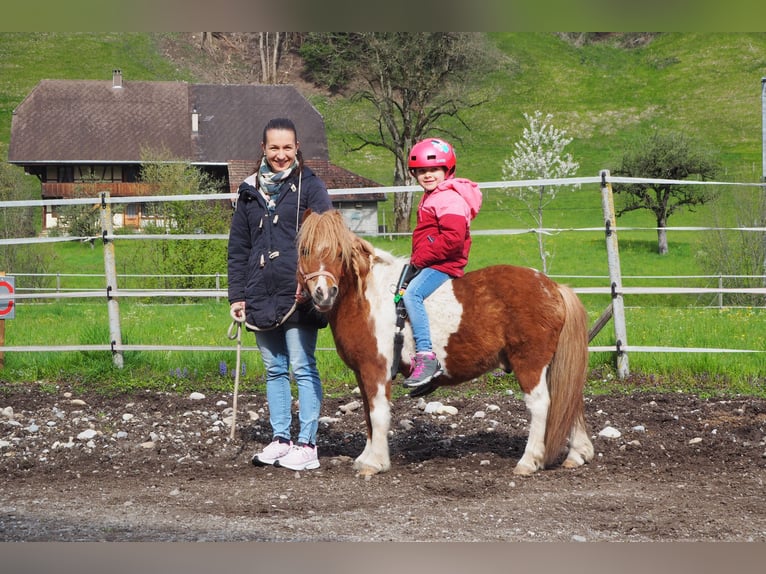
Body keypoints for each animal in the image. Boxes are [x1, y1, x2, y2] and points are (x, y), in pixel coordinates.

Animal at [296, 210, 596, 476]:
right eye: (305, 251)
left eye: (339, 253)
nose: (323, 293)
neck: (369, 296)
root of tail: (554, 287)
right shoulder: (362, 372)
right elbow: (368, 416)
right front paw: (365, 458)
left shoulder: (376, 369)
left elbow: (378, 414)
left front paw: (375, 463)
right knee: (570, 401)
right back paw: (577, 454)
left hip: (530, 364)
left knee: (541, 405)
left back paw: (529, 461)